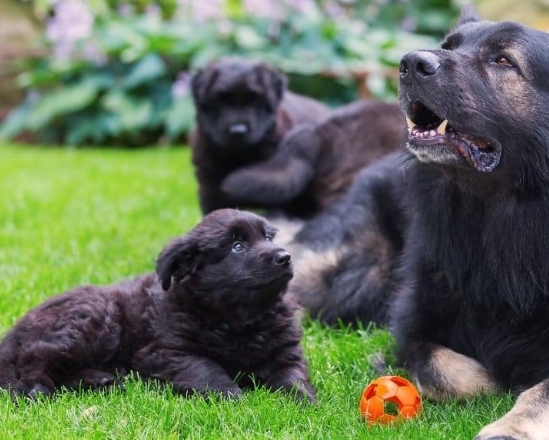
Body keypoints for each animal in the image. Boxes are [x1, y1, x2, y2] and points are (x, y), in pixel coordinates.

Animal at [0, 210, 314, 402]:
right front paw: (232, 396)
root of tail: (16, 330)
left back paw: (97, 380)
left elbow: (293, 376)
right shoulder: (167, 351)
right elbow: (207, 368)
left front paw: (304, 401)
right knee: (37, 354)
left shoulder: (284, 351)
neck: (239, 320)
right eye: (237, 246)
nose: (285, 257)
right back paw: (36, 388)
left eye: (268, 237)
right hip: (96, 318)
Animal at [191, 58, 328, 217]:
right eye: (220, 99)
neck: (238, 156)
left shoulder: (273, 182)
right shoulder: (209, 186)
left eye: (255, 99)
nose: (238, 131)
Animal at [286, 6, 549, 440]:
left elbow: (540, 388)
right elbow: (454, 373)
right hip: (347, 275)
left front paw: (511, 424)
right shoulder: (411, 320)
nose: (410, 63)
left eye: (503, 60)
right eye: (447, 46)